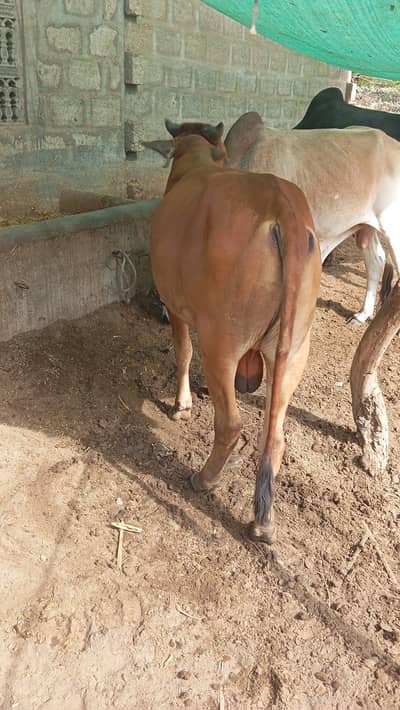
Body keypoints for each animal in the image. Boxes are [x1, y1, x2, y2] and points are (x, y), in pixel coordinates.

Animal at [143, 130, 321, 543]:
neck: (197, 163)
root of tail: (281, 203)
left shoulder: (176, 305)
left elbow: (182, 352)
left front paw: (181, 405)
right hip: (295, 350)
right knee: (275, 433)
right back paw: (263, 520)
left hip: (221, 343)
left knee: (230, 423)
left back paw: (204, 478)